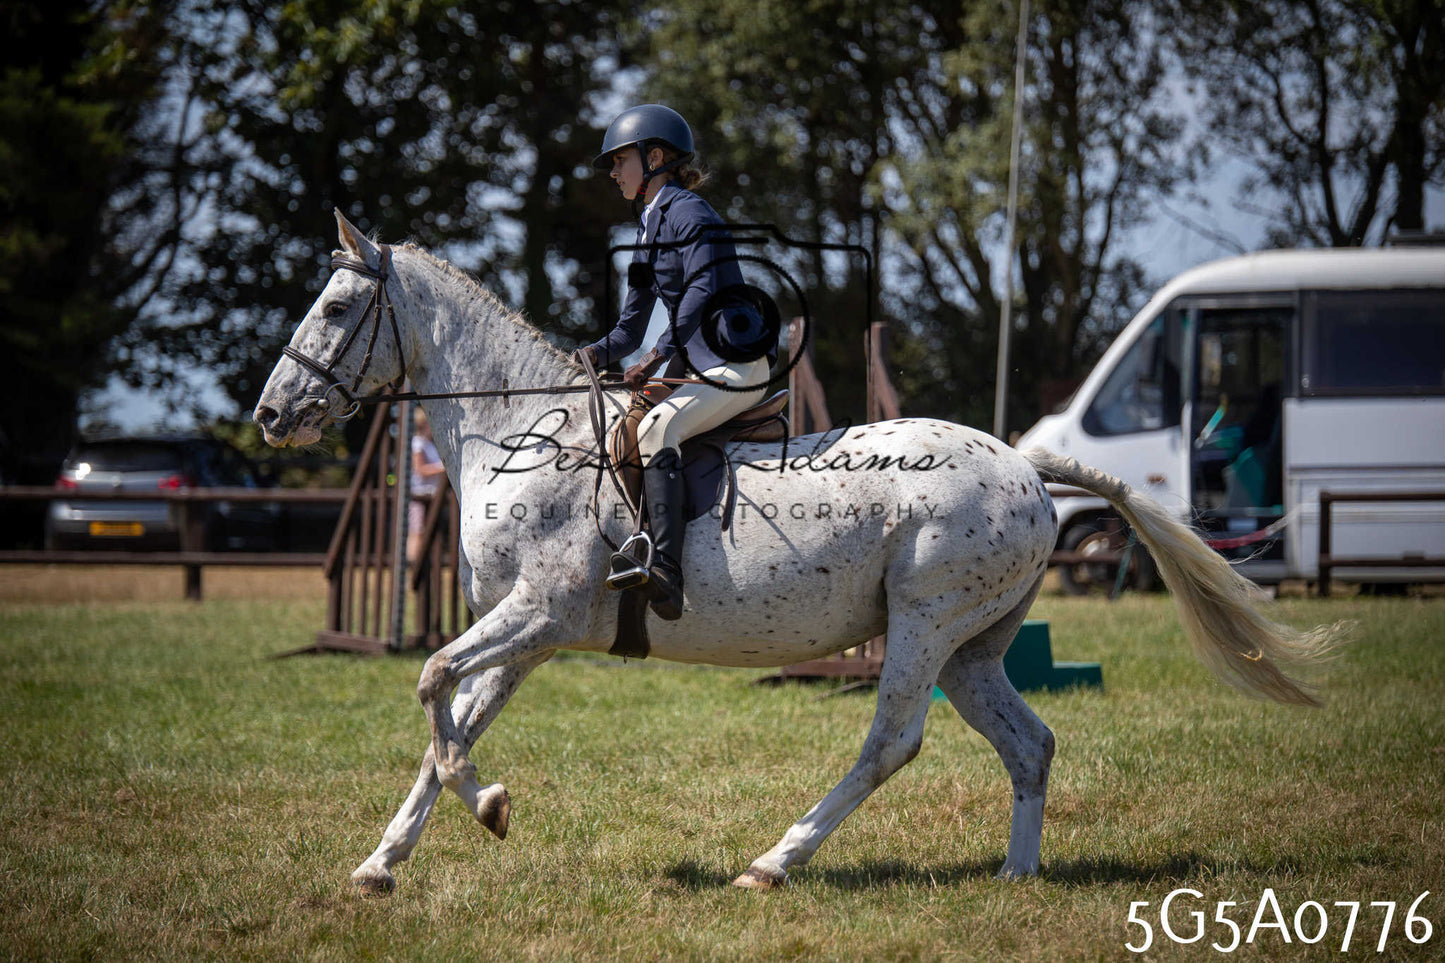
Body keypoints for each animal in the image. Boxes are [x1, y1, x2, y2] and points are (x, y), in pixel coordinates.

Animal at [255, 211, 1343, 895]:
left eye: (337, 311)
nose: (269, 415)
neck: (524, 430)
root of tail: (1025, 466)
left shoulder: (539, 615)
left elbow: (431, 683)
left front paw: (487, 808)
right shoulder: (526, 634)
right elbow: (449, 720)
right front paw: (385, 861)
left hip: (923, 623)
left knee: (890, 742)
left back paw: (774, 862)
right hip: (973, 646)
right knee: (1027, 743)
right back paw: (1015, 874)